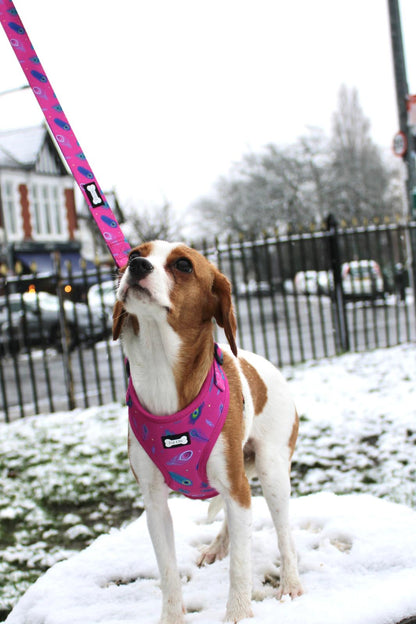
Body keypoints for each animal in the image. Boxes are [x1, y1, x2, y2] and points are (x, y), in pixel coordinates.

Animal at [113, 241, 302, 620]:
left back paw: (290, 582)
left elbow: (240, 568)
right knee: (236, 517)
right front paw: (172, 618)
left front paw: (238, 615)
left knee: (283, 533)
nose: (137, 266)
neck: (161, 371)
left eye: (184, 265)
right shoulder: (155, 503)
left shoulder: (237, 486)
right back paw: (218, 546)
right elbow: (168, 574)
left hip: (272, 471)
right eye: (133, 254)